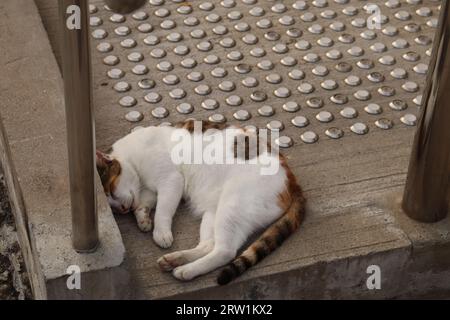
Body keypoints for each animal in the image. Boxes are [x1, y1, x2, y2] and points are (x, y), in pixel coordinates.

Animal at [96, 120, 306, 284]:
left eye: (111, 191)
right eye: (113, 209)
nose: (122, 209)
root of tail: (292, 180)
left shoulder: (171, 181)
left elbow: (163, 211)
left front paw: (160, 232)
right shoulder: (148, 191)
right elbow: (143, 204)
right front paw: (143, 219)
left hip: (232, 206)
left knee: (225, 251)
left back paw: (187, 270)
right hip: (215, 213)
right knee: (208, 245)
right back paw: (177, 260)